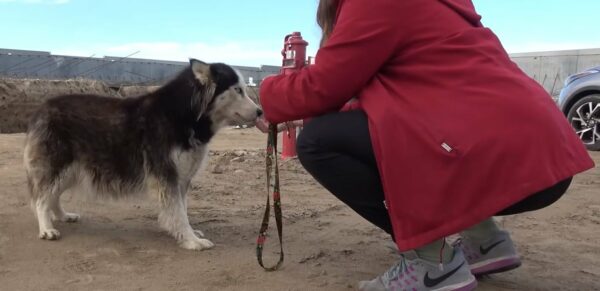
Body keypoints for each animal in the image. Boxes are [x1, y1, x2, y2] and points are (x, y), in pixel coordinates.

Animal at [22, 59, 262, 251]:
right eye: (238, 90)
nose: (260, 111)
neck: (184, 114)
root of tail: (41, 108)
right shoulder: (167, 174)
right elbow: (178, 211)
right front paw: (191, 240)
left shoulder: (181, 177)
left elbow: (182, 209)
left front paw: (188, 233)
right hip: (56, 165)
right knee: (41, 198)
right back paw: (46, 228)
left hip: (71, 170)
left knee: (52, 195)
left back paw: (62, 216)